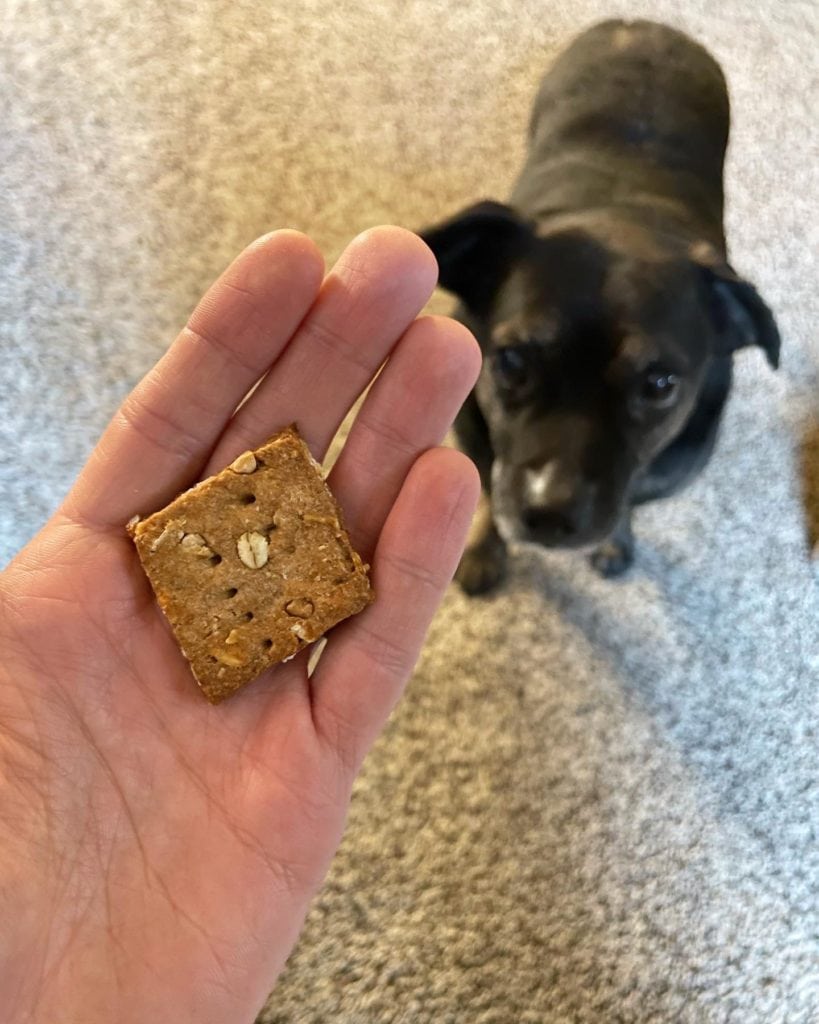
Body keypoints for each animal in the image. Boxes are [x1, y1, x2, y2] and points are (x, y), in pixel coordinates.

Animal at [421, 19, 782, 598]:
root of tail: (644, 26)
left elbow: (628, 507)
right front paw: (481, 549)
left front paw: (615, 544)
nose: (549, 514)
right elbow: (485, 492)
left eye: (660, 385)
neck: (618, 217)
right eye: (512, 361)